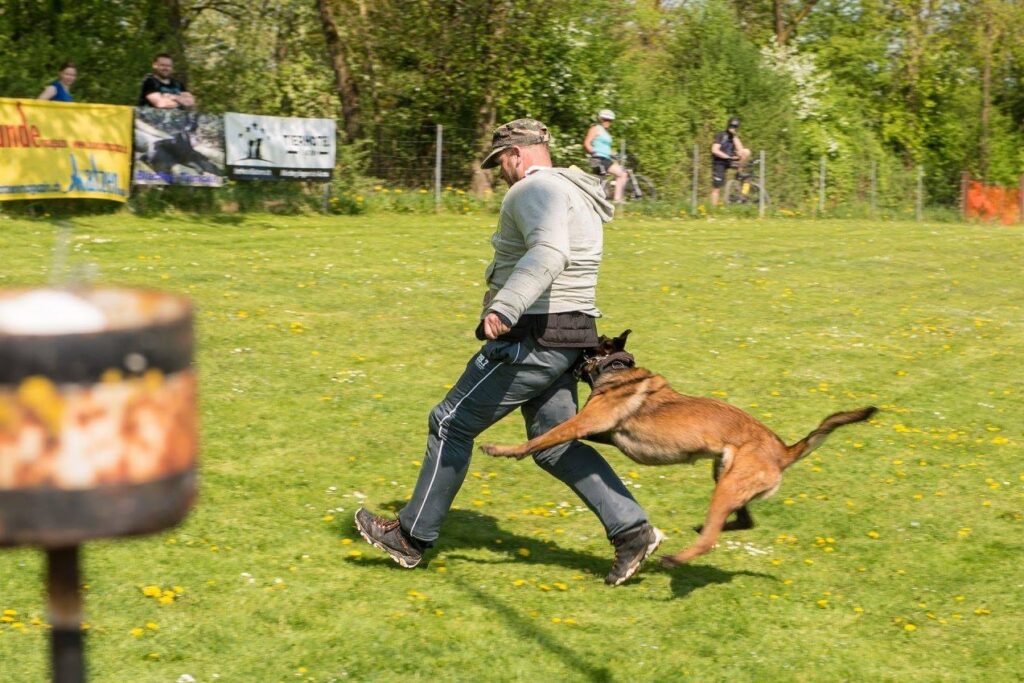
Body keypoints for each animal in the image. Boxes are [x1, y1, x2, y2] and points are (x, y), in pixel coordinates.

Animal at [477, 331, 872, 565]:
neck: (617, 368)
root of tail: (784, 450)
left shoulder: (585, 423)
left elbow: (541, 438)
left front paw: (503, 448)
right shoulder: (603, 432)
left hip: (727, 485)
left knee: (713, 539)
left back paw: (677, 559)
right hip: (725, 474)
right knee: (744, 520)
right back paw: (702, 528)